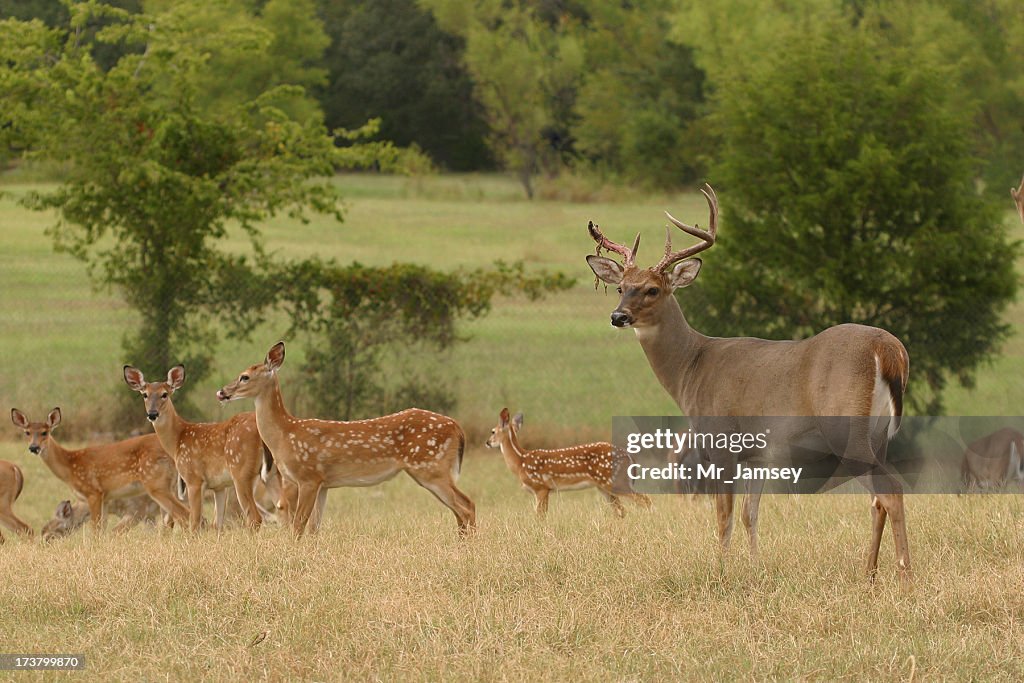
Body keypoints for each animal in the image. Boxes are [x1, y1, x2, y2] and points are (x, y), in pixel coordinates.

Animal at [9, 409, 188, 532]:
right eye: (27, 432)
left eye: (45, 432)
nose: (34, 447)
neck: (70, 466)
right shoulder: (106, 499)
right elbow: (102, 531)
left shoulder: (94, 492)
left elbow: (95, 530)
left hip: (155, 482)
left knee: (183, 515)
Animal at [122, 366, 268, 532]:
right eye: (144, 394)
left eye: (164, 394)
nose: (152, 414)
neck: (177, 440)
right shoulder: (219, 486)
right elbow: (216, 524)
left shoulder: (194, 479)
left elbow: (195, 523)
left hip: (241, 470)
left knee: (255, 517)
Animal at [220, 344, 475, 536]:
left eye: (245, 377)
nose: (222, 392)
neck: (285, 435)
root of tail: (457, 428)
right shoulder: (323, 483)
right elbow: (313, 529)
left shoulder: (308, 476)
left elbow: (298, 526)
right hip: (431, 469)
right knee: (463, 508)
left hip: (430, 466)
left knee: (466, 506)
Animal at [485, 409, 647, 516]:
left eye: (492, 431)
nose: (487, 442)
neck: (521, 461)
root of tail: (630, 457)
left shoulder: (541, 487)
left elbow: (540, 516)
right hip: (603, 486)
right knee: (622, 510)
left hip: (615, 481)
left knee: (644, 500)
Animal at [585, 184, 913, 585]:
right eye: (621, 287)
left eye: (652, 290)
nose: (618, 316)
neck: (692, 366)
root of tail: (890, 350)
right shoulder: (757, 456)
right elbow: (749, 514)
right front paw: (757, 567)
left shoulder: (721, 442)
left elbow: (723, 516)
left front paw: (720, 571)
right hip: (879, 434)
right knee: (877, 499)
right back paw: (868, 572)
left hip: (846, 428)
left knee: (891, 489)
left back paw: (904, 574)